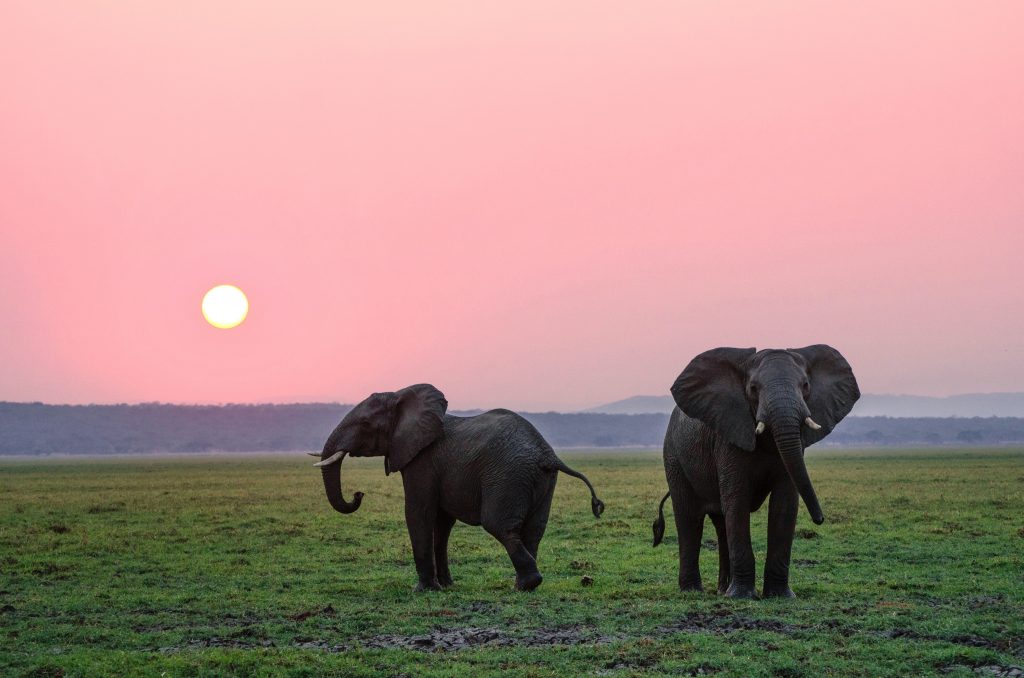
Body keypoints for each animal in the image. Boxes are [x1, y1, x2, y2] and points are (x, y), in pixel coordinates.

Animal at [312, 383, 605, 592]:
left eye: (364, 424)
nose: (358, 494)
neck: (401, 396)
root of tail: (547, 453)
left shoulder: (422, 461)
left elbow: (418, 513)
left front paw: (424, 590)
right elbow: (442, 523)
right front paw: (447, 586)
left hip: (508, 476)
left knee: (499, 525)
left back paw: (526, 584)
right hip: (541, 480)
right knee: (534, 530)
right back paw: (523, 585)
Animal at [652, 345, 859, 599]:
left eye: (805, 385)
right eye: (752, 388)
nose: (820, 519)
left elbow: (784, 505)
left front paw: (780, 596)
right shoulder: (729, 436)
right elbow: (737, 501)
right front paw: (742, 596)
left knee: (721, 522)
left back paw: (722, 590)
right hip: (674, 456)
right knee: (689, 517)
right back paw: (693, 591)